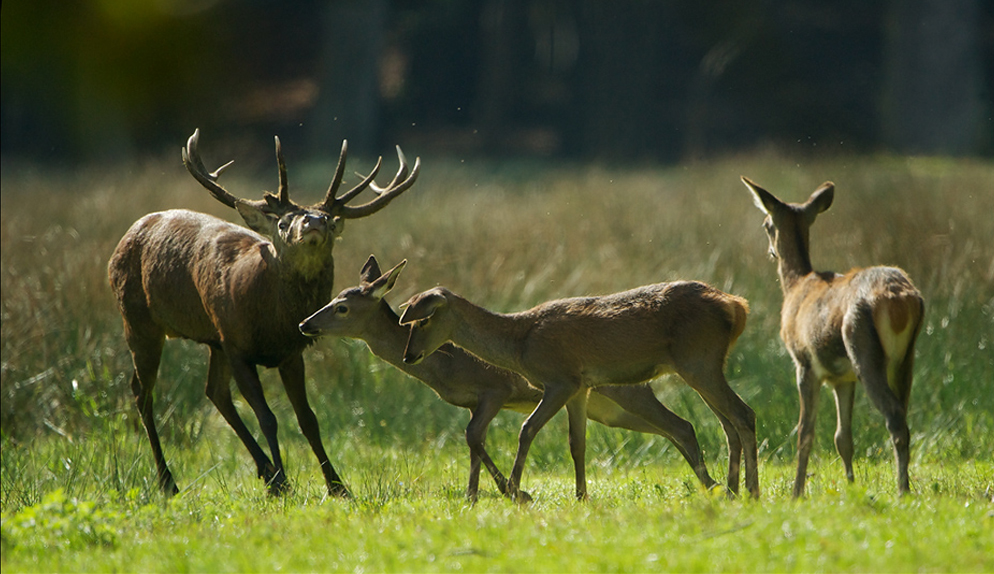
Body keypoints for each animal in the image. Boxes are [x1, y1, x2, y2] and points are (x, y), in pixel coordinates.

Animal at [107, 129, 419, 497]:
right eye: (284, 222)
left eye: (329, 220)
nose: (313, 222)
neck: (273, 320)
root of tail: (127, 236)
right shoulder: (237, 344)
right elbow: (267, 416)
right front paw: (286, 480)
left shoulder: (290, 351)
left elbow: (308, 418)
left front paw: (336, 485)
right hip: (139, 319)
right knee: (142, 392)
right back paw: (170, 481)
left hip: (213, 340)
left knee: (214, 392)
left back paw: (264, 471)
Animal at [298, 255, 721, 501]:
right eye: (334, 298)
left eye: (342, 307)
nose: (305, 324)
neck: (444, 367)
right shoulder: (473, 402)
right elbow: (471, 442)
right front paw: (472, 497)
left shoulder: (495, 389)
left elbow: (475, 437)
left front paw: (514, 492)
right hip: (612, 410)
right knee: (674, 428)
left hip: (625, 394)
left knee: (680, 425)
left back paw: (714, 485)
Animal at [398, 276, 759, 501]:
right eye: (410, 320)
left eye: (424, 319)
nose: (409, 355)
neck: (519, 342)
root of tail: (737, 305)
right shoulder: (581, 387)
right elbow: (577, 443)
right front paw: (581, 496)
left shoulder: (562, 379)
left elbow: (527, 429)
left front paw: (516, 491)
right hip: (703, 365)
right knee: (724, 423)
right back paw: (730, 489)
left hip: (698, 361)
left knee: (743, 414)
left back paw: (749, 491)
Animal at [741, 177, 924, 497]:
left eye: (766, 224)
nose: (771, 251)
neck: (796, 286)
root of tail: (902, 300)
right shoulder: (843, 378)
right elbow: (842, 437)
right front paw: (850, 485)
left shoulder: (804, 363)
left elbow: (805, 432)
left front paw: (796, 492)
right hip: (906, 358)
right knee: (903, 412)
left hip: (863, 347)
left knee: (895, 419)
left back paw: (902, 490)